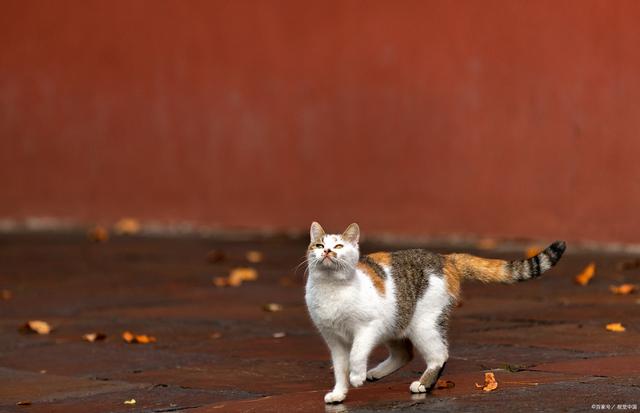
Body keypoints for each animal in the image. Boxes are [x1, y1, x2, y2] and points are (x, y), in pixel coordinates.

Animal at [304, 222, 564, 402]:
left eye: (339, 246)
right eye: (319, 245)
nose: (327, 252)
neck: (331, 288)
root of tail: (445, 257)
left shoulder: (368, 327)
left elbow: (357, 353)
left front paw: (356, 377)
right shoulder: (333, 339)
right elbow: (340, 367)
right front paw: (339, 393)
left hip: (424, 322)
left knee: (439, 354)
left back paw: (422, 383)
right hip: (398, 319)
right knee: (405, 353)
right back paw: (376, 374)